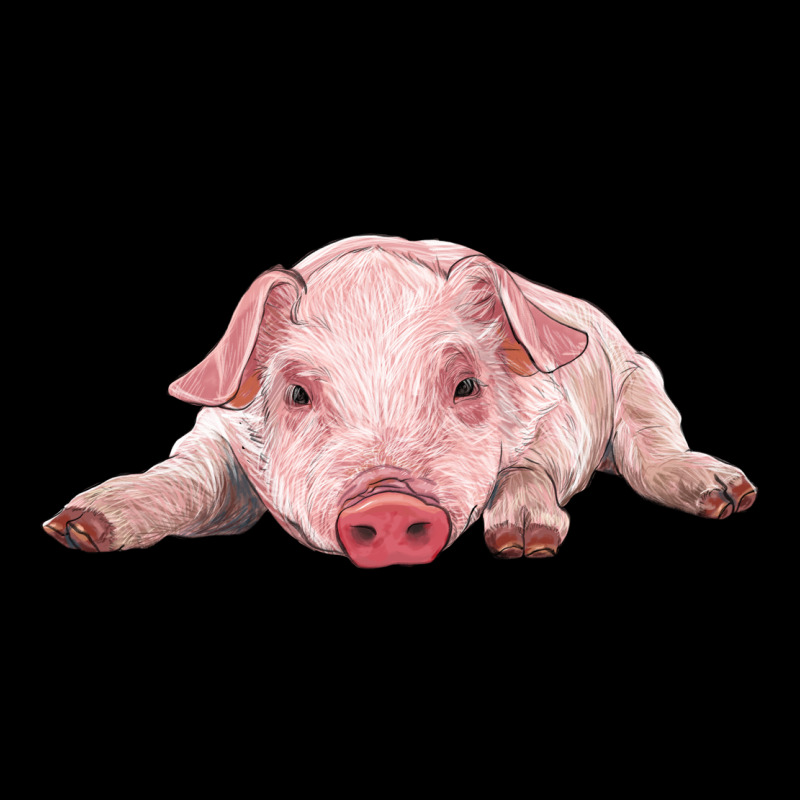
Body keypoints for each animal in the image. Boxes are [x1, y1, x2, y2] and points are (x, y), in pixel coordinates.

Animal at [43, 235, 757, 566]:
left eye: (465, 385)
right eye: (297, 392)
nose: (388, 503)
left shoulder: (561, 418)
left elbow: (528, 464)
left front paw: (524, 544)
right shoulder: (219, 436)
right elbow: (192, 479)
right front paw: (75, 529)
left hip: (642, 380)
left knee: (654, 445)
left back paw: (731, 496)